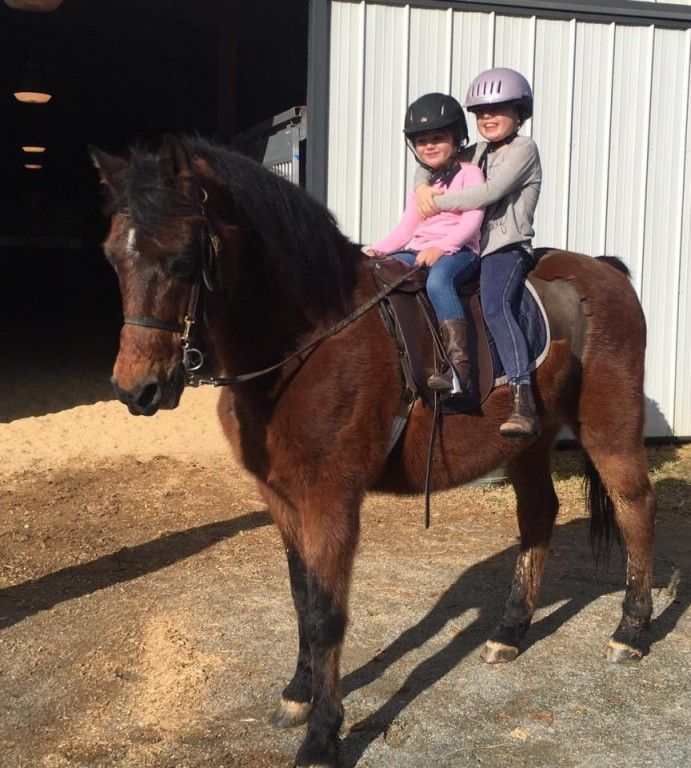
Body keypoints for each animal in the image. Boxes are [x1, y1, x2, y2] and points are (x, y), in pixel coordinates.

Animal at [90, 138, 656, 768]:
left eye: (184, 260)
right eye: (113, 257)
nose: (137, 390)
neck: (308, 341)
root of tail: (605, 270)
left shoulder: (332, 498)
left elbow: (327, 613)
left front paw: (322, 735)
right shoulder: (281, 497)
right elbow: (302, 598)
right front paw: (298, 695)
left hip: (609, 429)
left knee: (635, 506)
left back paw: (630, 632)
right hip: (527, 440)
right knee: (538, 515)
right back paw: (509, 633)